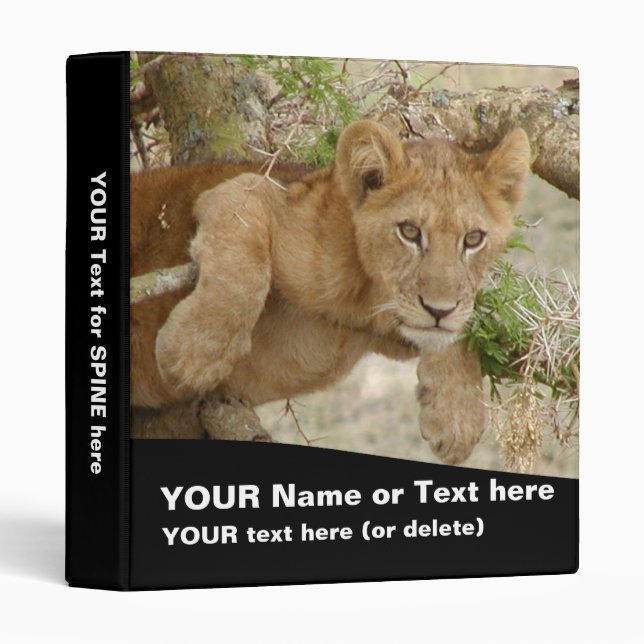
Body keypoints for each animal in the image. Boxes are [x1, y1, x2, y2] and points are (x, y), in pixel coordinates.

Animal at [130, 120, 531, 464]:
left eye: (473, 239)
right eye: (410, 232)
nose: (439, 310)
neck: (366, 295)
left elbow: (467, 325)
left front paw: (457, 415)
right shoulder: (246, 191)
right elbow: (241, 266)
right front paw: (193, 354)